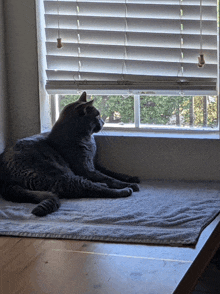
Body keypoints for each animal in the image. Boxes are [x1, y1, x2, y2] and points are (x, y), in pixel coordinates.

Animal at [0, 92, 139, 216]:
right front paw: (128, 184)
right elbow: (109, 178)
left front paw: (130, 177)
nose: (103, 122)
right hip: (60, 174)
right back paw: (125, 190)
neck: (86, 139)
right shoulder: (85, 169)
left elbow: (110, 172)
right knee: (84, 188)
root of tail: (6, 182)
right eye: (97, 115)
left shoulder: (93, 164)